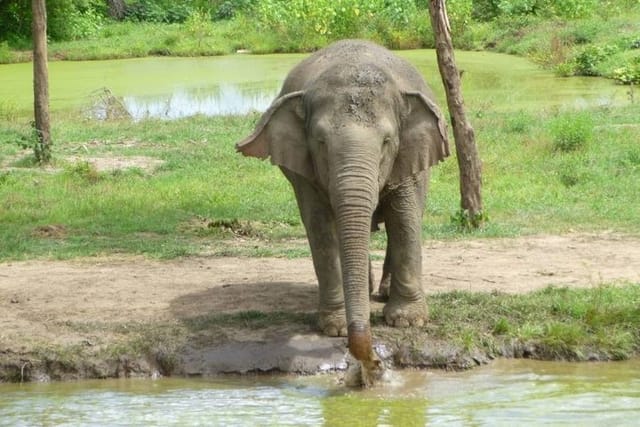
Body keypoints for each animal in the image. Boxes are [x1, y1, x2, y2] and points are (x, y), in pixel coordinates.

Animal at [236, 38, 450, 376]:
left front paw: (407, 322)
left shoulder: (409, 155)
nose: (372, 362)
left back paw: (381, 294)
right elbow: (321, 228)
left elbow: (405, 219)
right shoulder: (304, 172)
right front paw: (334, 328)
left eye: (387, 142)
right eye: (321, 143)